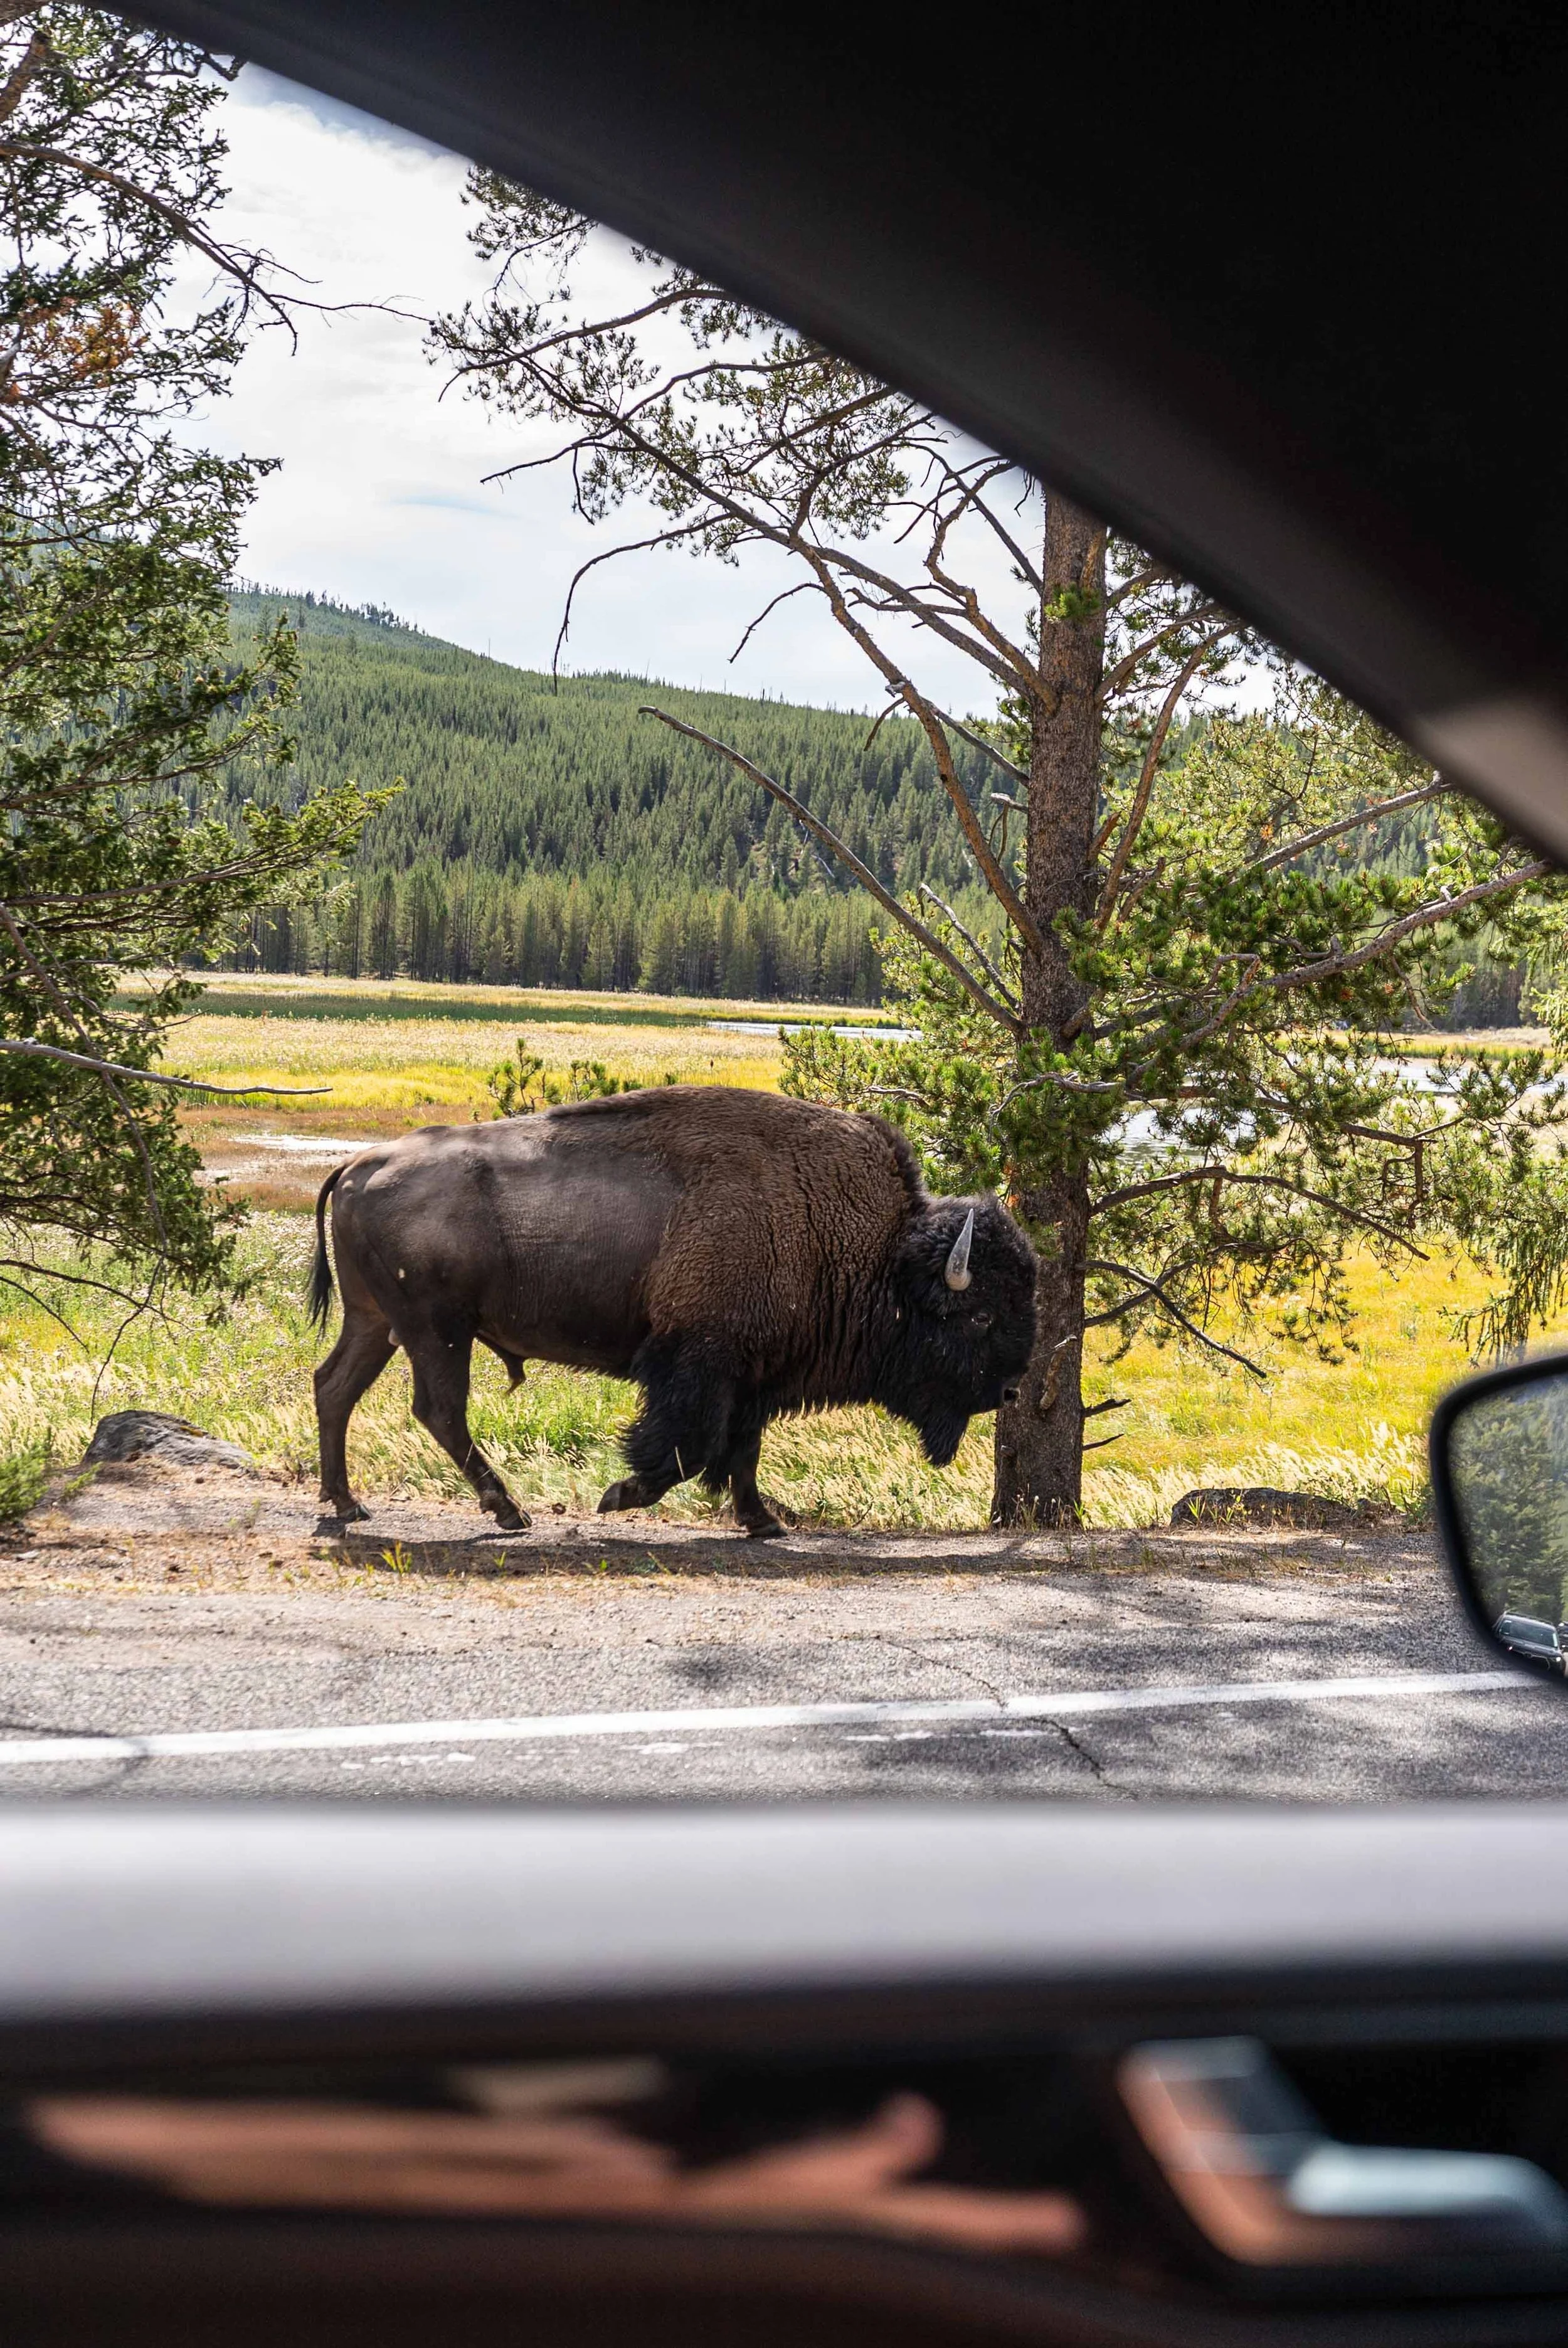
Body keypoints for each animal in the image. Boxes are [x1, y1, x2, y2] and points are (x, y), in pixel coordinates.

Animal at [308, 1085, 1036, 1536]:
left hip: (376, 1321)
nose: (1009, 1390)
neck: (867, 1245)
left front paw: (763, 1521)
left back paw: (348, 1502)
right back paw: (507, 1511)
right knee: (438, 1409)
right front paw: (618, 1496)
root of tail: (358, 1162)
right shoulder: (699, 1362)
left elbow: (743, 1450)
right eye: (979, 1316)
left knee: (335, 1387)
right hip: (436, 1330)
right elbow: (690, 1446)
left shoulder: (755, 1374)